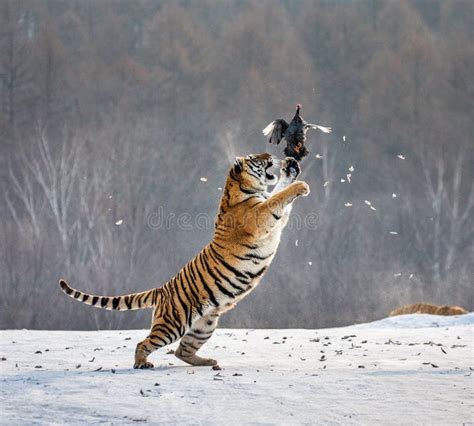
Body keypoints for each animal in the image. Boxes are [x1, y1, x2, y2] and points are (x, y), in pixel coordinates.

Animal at [59, 154, 310, 370]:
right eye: (255, 158)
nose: (270, 155)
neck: (243, 189)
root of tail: (161, 289)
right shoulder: (262, 216)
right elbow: (278, 197)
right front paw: (301, 185)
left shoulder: (276, 220)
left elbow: (279, 192)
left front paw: (291, 169)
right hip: (172, 324)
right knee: (144, 343)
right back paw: (142, 363)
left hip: (203, 326)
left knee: (183, 351)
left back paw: (208, 361)